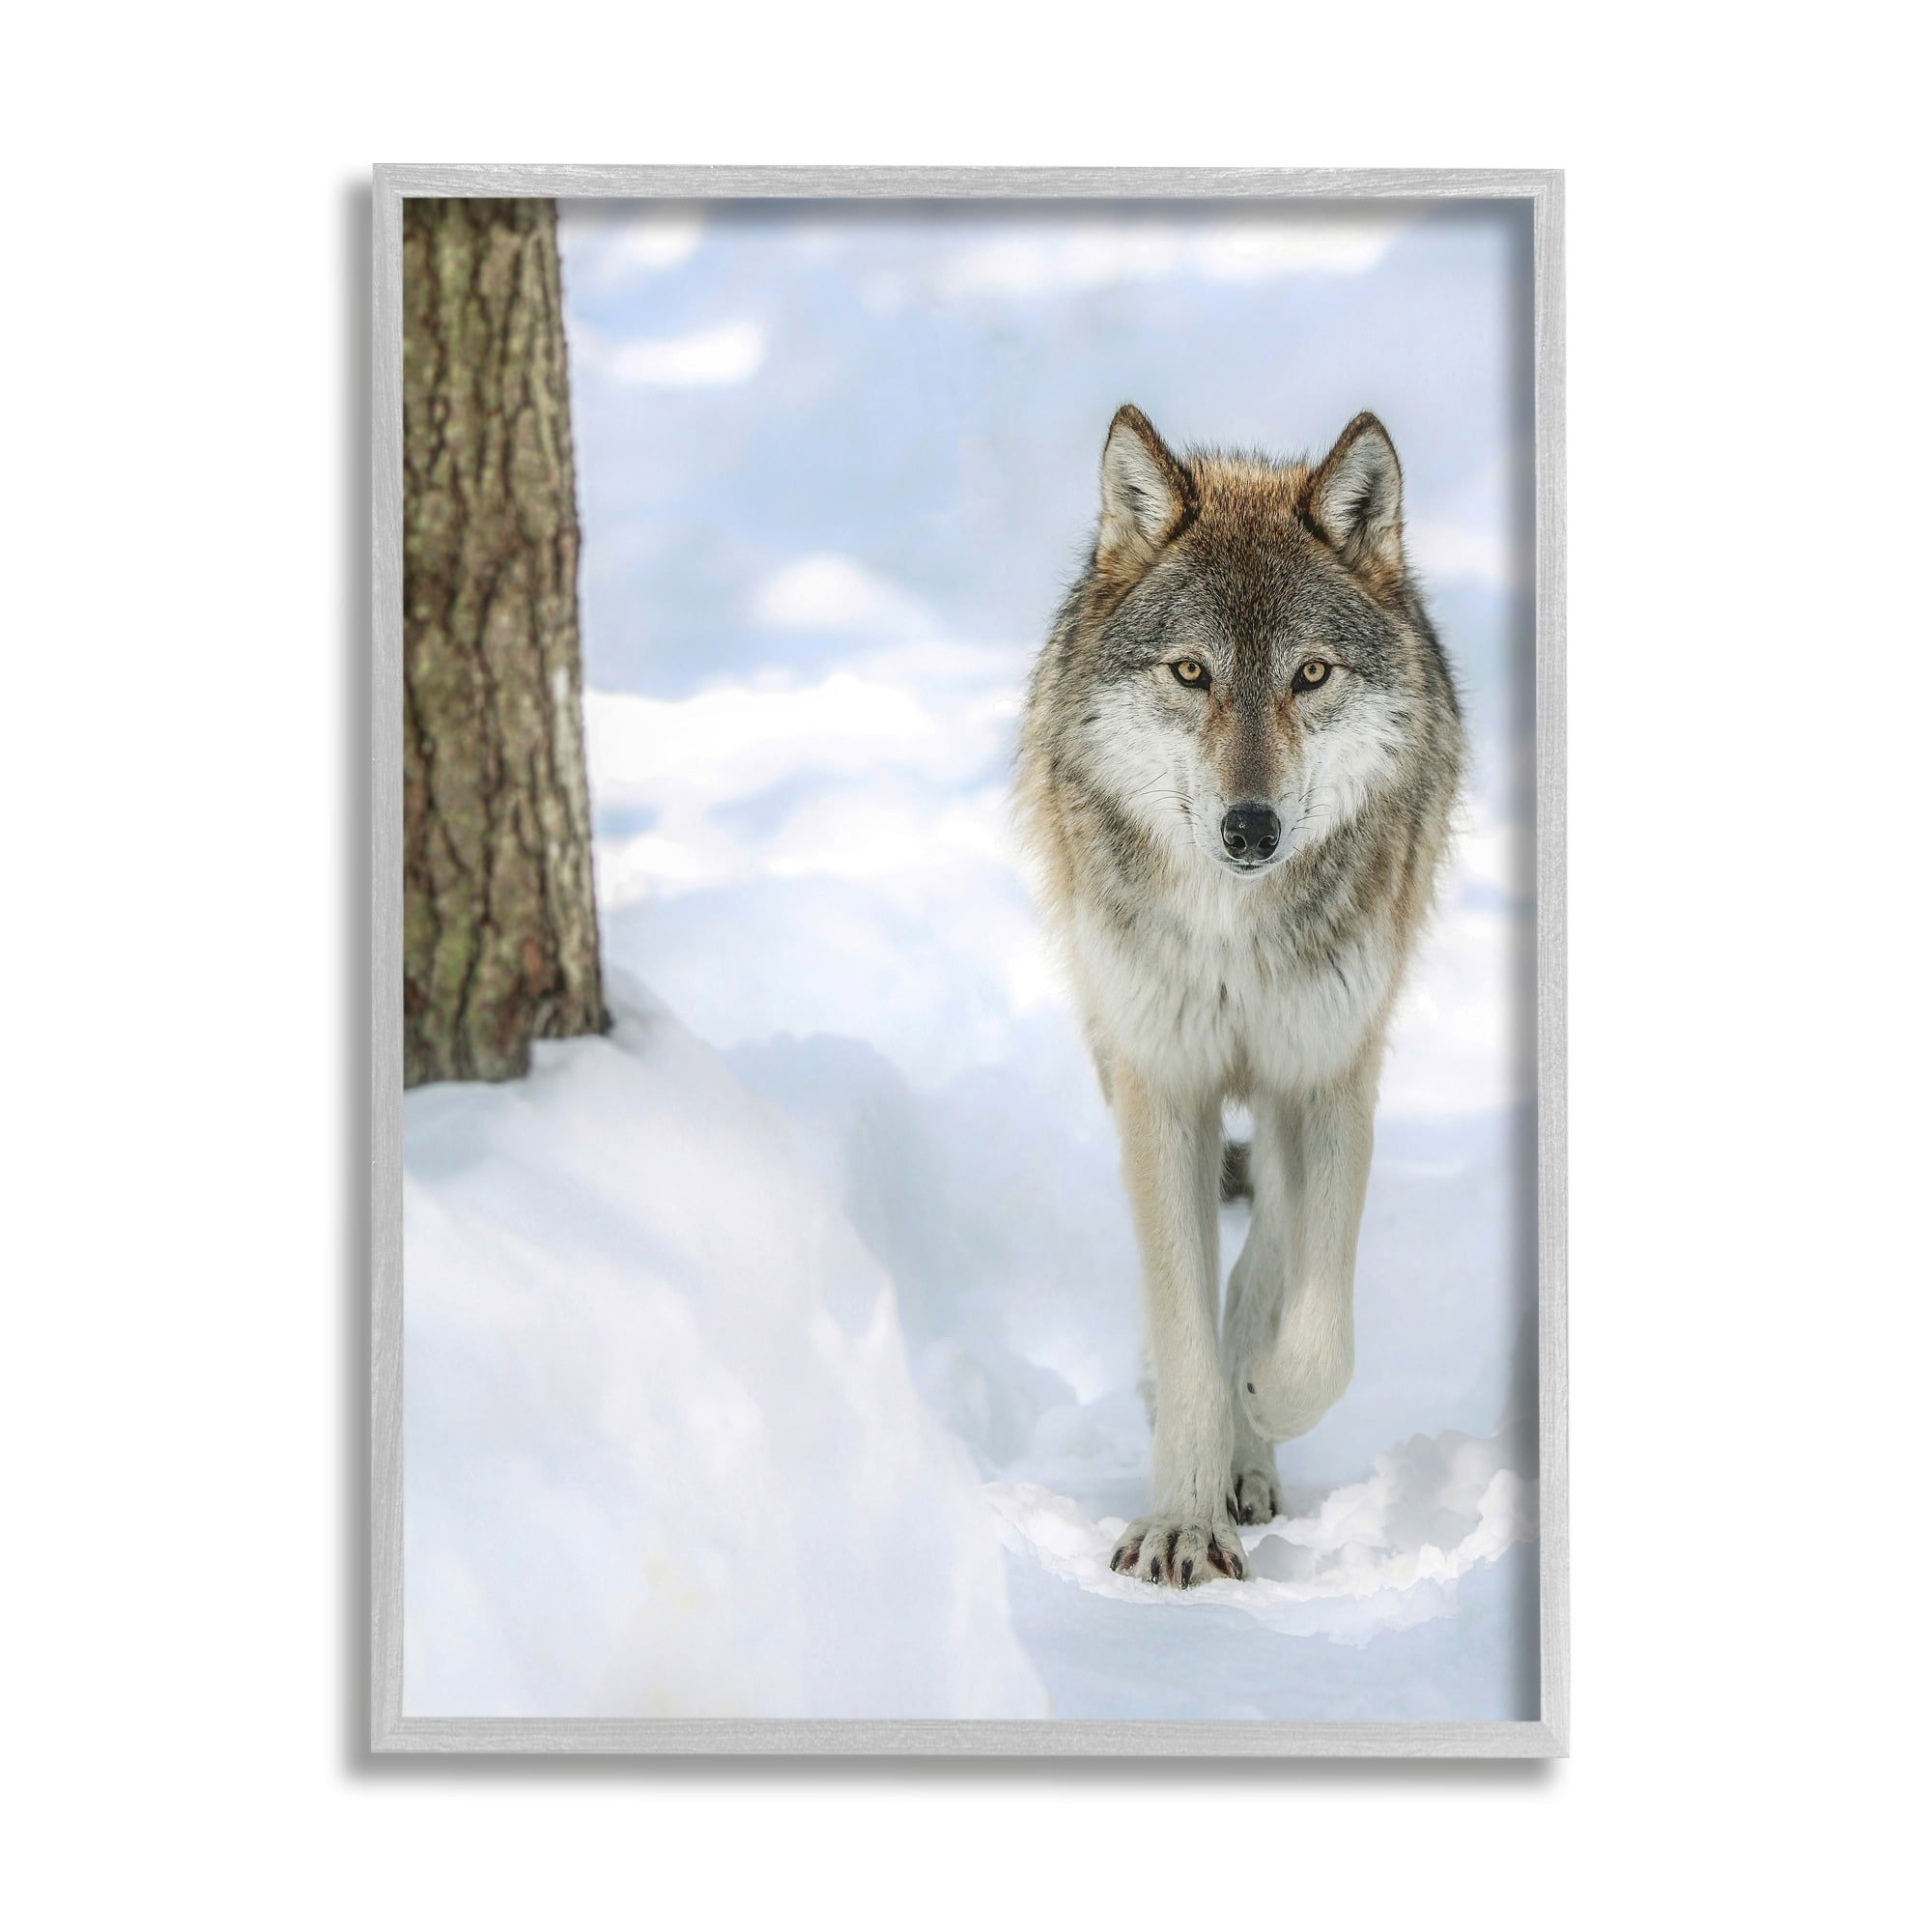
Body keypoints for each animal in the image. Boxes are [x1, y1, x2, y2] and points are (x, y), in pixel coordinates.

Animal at [1016, 404, 1464, 1586]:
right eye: (1189, 671)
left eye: (1308, 674)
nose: (1249, 827)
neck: (1235, 933)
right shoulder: (1161, 1082)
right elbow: (1181, 1327)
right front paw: (1180, 1517)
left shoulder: (1329, 1072)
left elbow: (1316, 1330)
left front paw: (1258, 1398)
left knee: (1271, 1237)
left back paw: (1250, 1443)